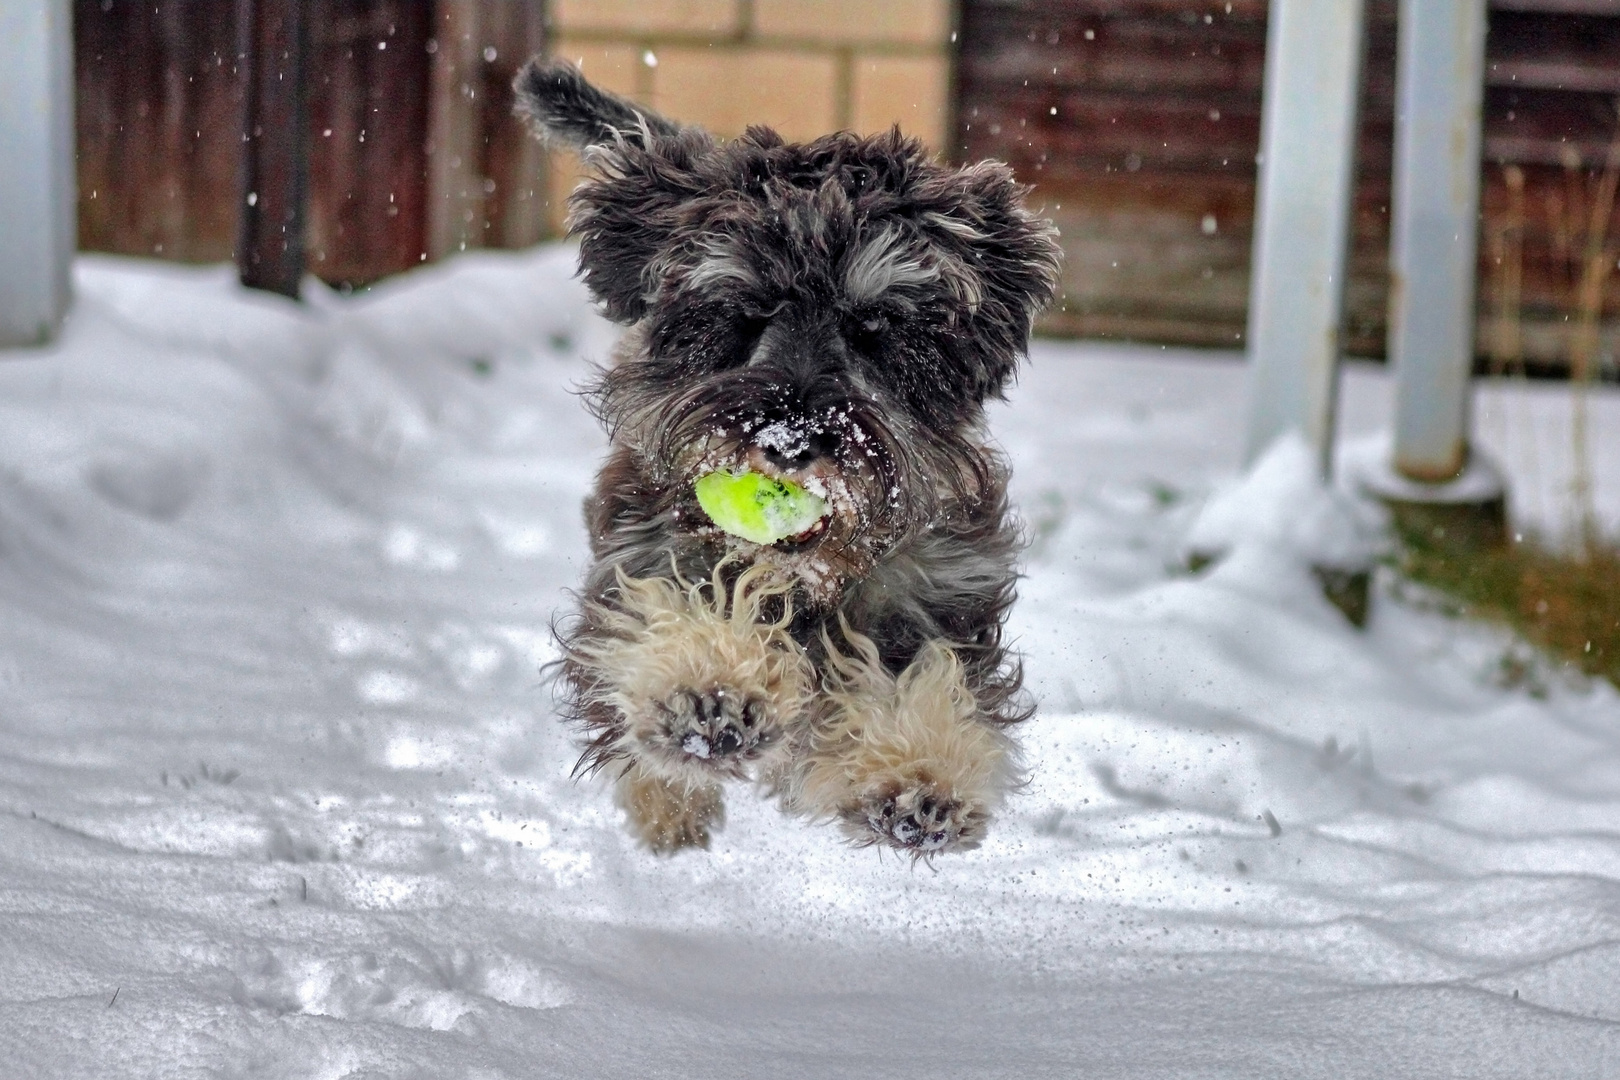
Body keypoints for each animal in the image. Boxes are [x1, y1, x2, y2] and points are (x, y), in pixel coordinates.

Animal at [515, 59, 1062, 854]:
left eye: (876, 328)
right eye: (744, 311)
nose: (790, 441)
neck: (805, 582)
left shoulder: (935, 601)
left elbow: (923, 683)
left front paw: (918, 778)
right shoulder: (651, 559)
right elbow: (674, 623)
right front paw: (707, 695)